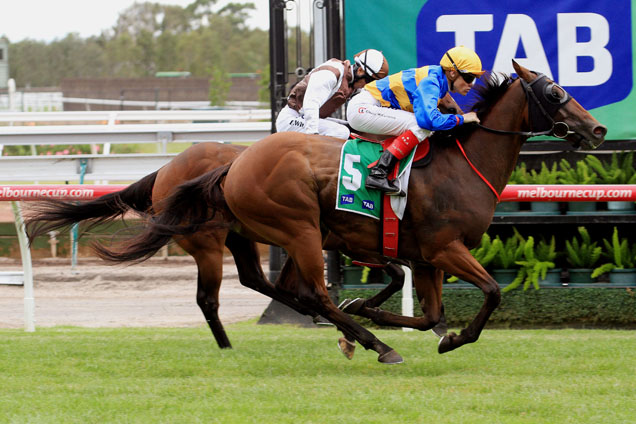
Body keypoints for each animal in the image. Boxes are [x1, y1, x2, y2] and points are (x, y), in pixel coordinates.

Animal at [94, 61, 608, 362]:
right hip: (292, 228)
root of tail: (234, 164)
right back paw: (376, 345)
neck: (462, 164)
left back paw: (356, 333)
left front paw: (370, 310)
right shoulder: (445, 248)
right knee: (306, 294)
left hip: (275, 234)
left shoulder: (425, 257)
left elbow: (429, 314)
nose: (598, 129)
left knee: (276, 287)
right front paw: (448, 337)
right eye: (556, 93)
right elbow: (492, 293)